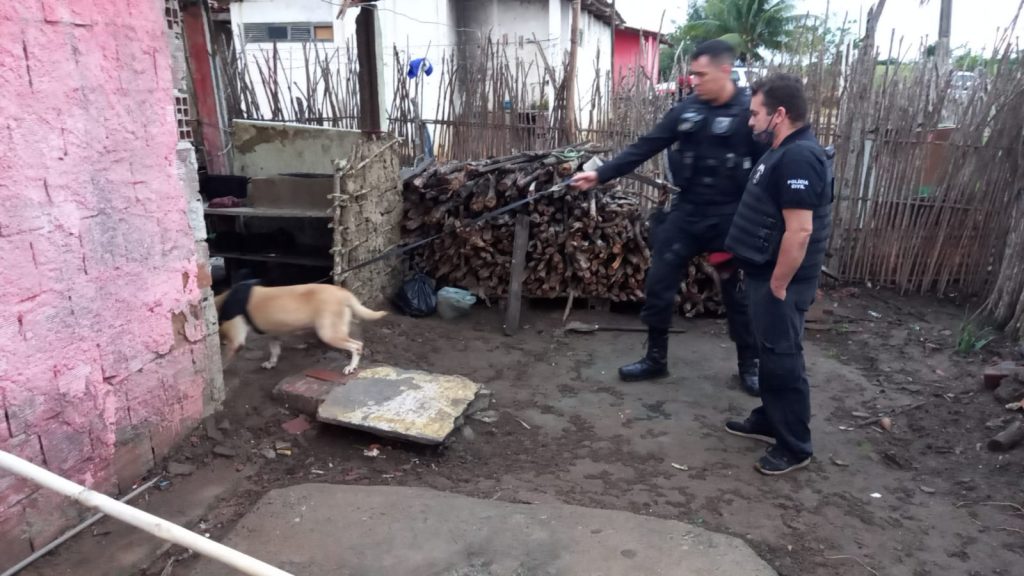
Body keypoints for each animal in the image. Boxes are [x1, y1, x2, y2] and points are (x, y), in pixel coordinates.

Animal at [214, 281, 387, 374]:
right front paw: (271, 363)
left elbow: (223, 360)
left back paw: (351, 366)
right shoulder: (273, 334)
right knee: (358, 341)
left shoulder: (236, 342)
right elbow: (274, 350)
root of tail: (343, 292)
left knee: (356, 346)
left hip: (329, 334)